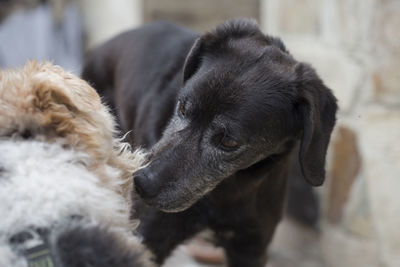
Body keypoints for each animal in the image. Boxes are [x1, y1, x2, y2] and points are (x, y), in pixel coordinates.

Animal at [83, 19, 338, 267]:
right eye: (182, 107)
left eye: (228, 141)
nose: (141, 183)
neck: (227, 191)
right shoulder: (148, 236)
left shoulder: (251, 248)